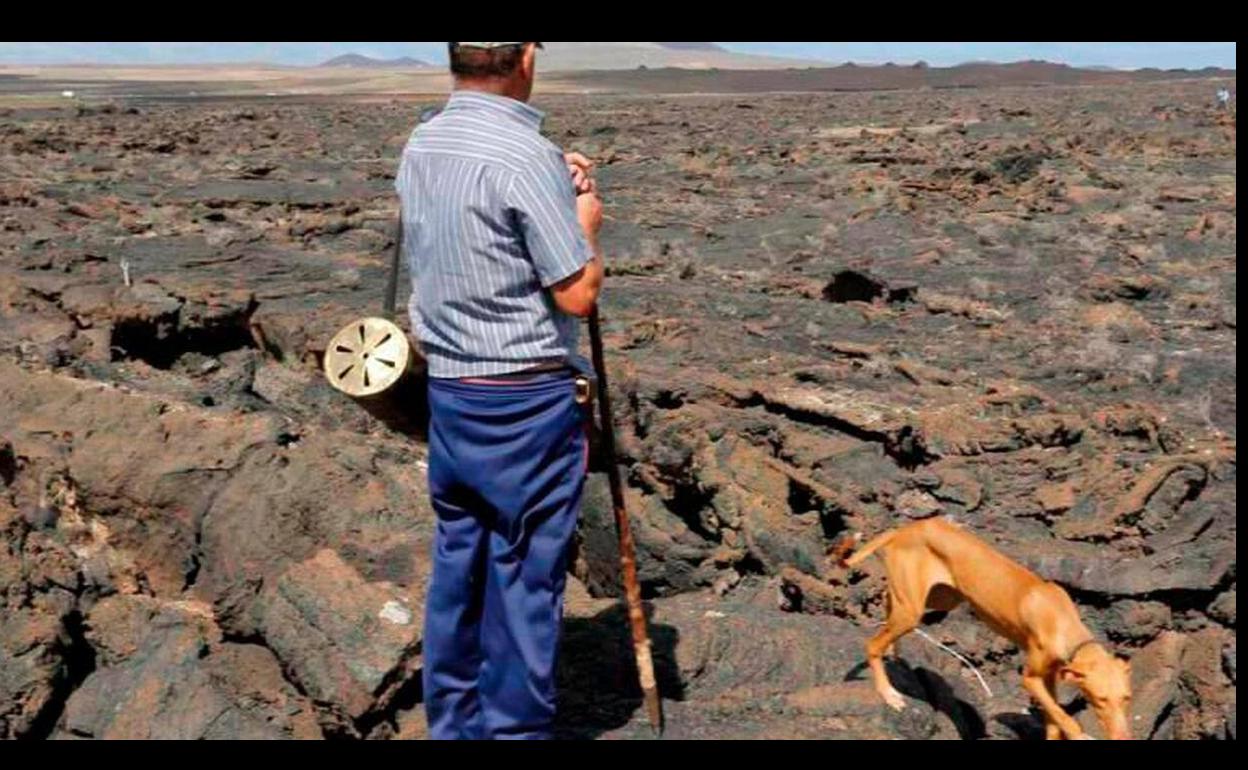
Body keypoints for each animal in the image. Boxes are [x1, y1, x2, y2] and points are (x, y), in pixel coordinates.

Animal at [834, 517, 1132, 740]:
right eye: (1101, 700)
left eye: (1126, 698)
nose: (1123, 737)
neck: (1063, 621)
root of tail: (907, 528)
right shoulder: (1031, 678)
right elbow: (1061, 715)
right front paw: (1080, 733)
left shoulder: (1049, 679)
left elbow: (1053, 720)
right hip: (913, 612)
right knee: (873, 644)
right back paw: (889, 694)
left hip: (940, 598)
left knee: (888, 601)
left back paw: (894, 650)